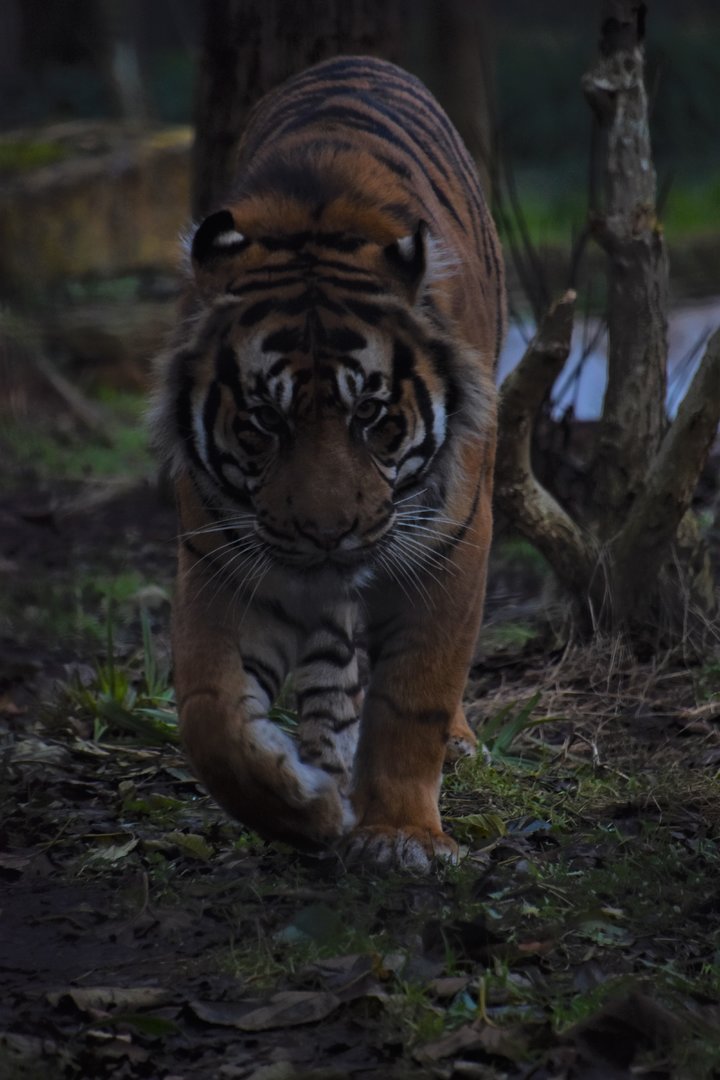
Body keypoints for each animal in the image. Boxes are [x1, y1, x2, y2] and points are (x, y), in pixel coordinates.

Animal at [152, 55, 505, 873]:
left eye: (370, 416)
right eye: (264, 422)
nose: (324, 534)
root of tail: (357, 60)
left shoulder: (450, 544)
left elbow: (414, 695)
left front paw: (401, 836)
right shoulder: (219, 558)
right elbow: (209, 716)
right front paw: (303, 807)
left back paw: (453, 747)